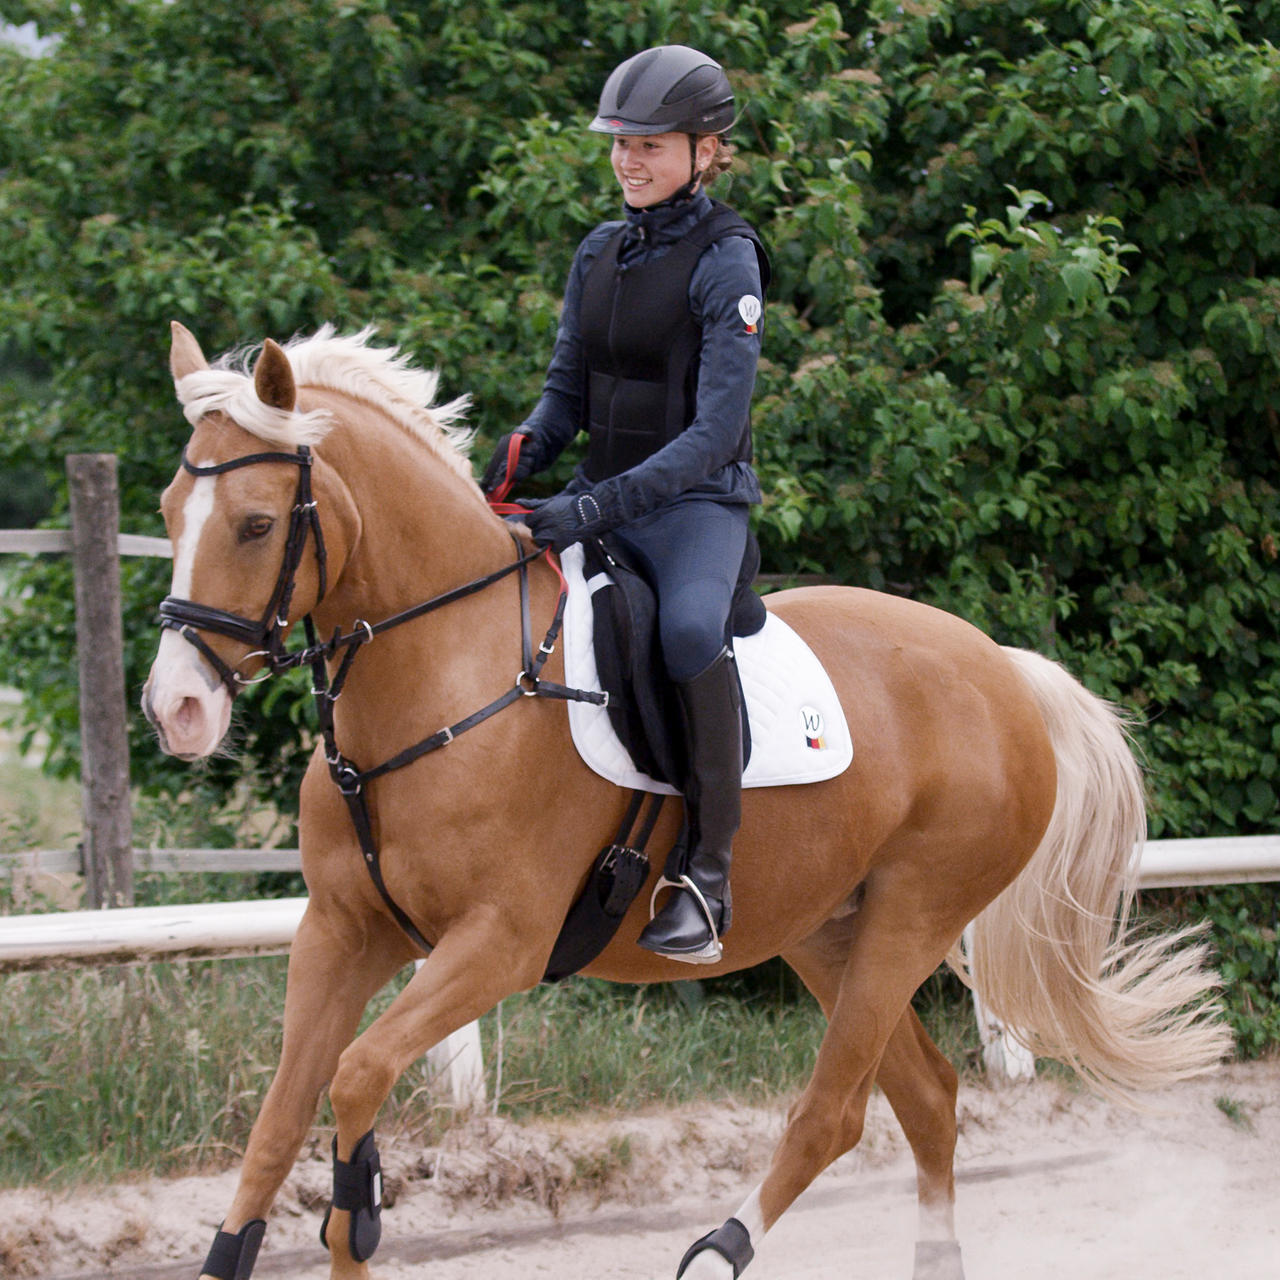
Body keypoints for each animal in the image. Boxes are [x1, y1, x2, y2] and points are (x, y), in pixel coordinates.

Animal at [142, 322, 1228, 1280]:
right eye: (166, 509)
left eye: (256, 523)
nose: (175, 708)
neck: (442, 677)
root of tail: (999, 667)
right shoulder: (341, 930)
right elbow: (283, 1112)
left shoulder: (497, 943)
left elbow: (358, 1073)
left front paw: (358, 1218)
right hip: (826, 928)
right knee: (923, 1096)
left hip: (911, 917)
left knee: (833, 1112)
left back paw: (718, 1249)